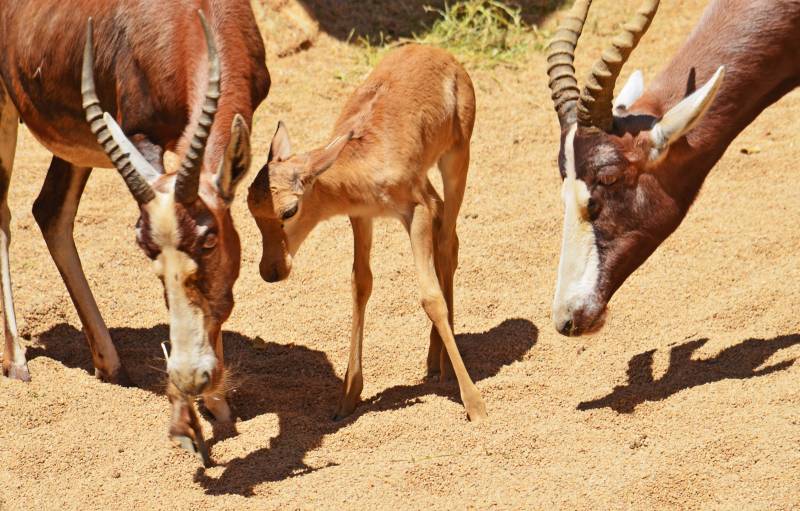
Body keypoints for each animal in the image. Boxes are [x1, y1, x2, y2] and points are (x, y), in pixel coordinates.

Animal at [0, 1, 268, 460]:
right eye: (144, 247)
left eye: (209, 240)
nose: (189, 375)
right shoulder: (140, 134)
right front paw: (190, 422)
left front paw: (216, 405)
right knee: (5, 215)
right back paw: (17, 360)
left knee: (50, 211)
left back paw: (109, 364)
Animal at [248, 44, 488, 422]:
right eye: (250, 209)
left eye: (288, 211)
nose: (271, 271)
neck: (363, 158)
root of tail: (439, 52)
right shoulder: (361, 217)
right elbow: (360, 284)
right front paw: (348, 397)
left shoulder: (414, 212)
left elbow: (430, 297)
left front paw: (475, 405)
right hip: (428, 183)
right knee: (442, 225)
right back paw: (433, 360)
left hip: (456, 158)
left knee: (449, 241)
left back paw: (446, 365)